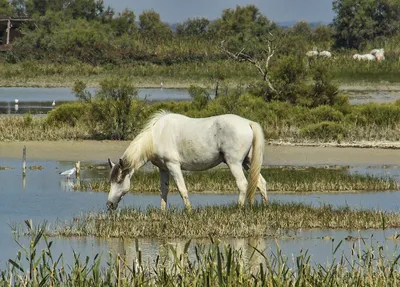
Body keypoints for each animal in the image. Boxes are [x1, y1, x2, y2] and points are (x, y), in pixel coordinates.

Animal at [108, 110, 268, 212]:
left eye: (119, 181)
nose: (109, 204)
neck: (156, 136)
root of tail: (248, 123)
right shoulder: (163, 168)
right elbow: (164, 190)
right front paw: (162, 212)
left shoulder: (173, 166)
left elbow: (182, 189)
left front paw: (189, 211)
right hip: (247, 162)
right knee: (260, 182)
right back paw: (264, 207)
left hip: (234, 163)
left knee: (243, 185)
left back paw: (238, 209)